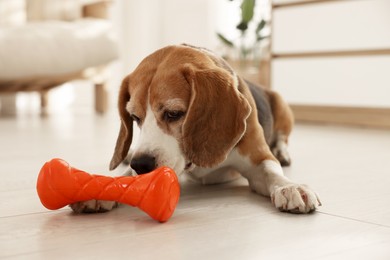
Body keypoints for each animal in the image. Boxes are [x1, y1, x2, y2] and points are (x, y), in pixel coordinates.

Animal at [71, 44, 322, 213]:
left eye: (174, 113)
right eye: (134, 117)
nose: (141, 165)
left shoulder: (258, 157)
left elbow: (272, 172)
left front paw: (290, 188)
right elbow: (124, 177)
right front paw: (102, 188)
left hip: (283, 106)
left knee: (282, 139)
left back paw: (283, 153)